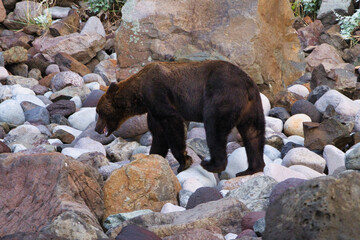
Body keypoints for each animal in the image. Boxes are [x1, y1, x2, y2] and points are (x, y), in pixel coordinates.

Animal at [95, 59, 264, 175]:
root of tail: (246, 84)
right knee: (253, 133)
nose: (97, 129)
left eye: (99, 112)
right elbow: (159, 136)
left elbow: (172, 124)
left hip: (221, 97)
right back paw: (251, 169)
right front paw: (154, 158)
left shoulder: (158, 94)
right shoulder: (152, 111)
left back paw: (212, 164)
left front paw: (184, 161)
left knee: (214, 129)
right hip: (253, 106)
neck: (139, 96)